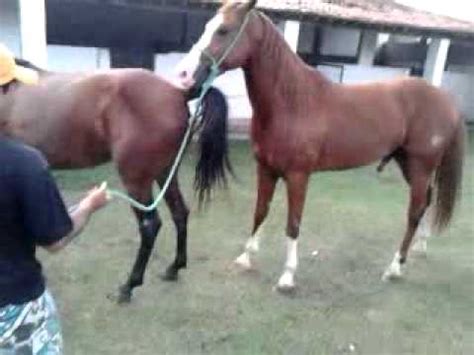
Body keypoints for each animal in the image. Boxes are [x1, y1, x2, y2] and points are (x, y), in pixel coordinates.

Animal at [0, 58, 231, 304]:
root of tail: (177, 92)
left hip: (136, 180)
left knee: (150, 225)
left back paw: (129, 286)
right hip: (166, 173)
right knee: (179, 213)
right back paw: (174, 268)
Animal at [176, 0, 464, 292]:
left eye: (223, 30)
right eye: (207, 26)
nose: (183, 75)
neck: (292, 102)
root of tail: (444, 100)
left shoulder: (298, 176)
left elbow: (293, 224)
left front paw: (287, 277)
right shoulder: (266, 169)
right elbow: (260, 212)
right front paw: (246, 257)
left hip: (420, 166)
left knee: (415, 211)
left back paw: (394, 267)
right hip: (408, 164)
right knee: (427, 200)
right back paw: (419, 247)